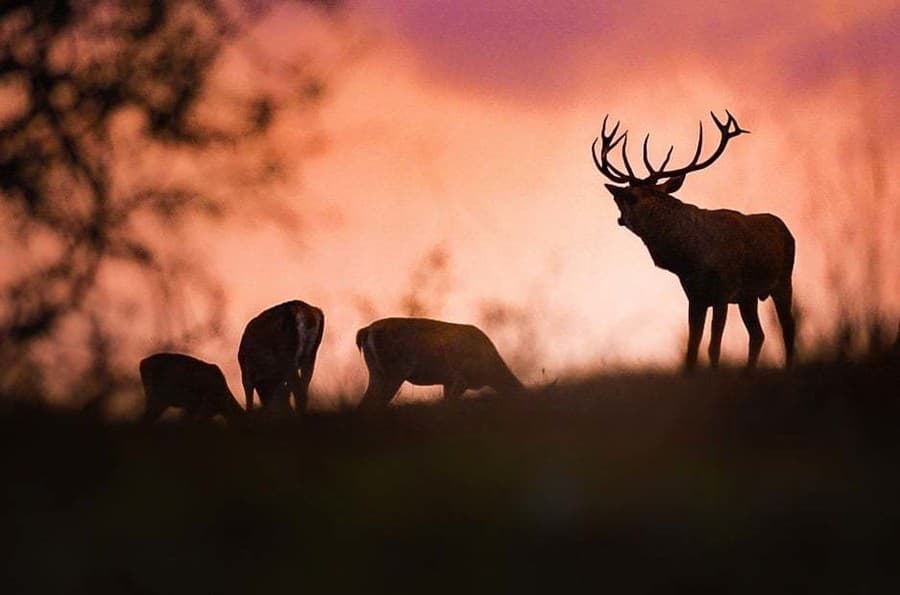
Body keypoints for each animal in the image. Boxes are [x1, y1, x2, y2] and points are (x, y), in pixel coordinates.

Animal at [592, 112, 796, 370]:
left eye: (628, 197)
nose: (619, 218)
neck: (691, 258)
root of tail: (786, 229)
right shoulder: (694, 295)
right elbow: (692, 348)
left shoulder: (723, 289)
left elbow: (713, 347)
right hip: (748, 297)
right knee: (758, 334)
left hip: (783, 280)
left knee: (788, 328)